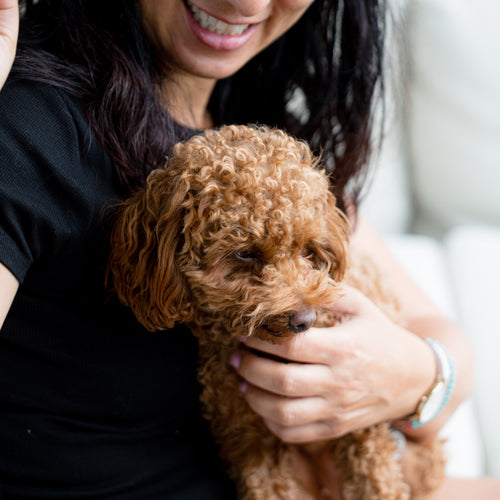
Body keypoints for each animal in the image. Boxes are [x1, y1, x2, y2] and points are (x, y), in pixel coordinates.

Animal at [107, 125, 444, 500]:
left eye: (309, 249)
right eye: (244, 253)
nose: (304, 320)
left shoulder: (362, 422)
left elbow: (377, 482)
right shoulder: (249, 440)